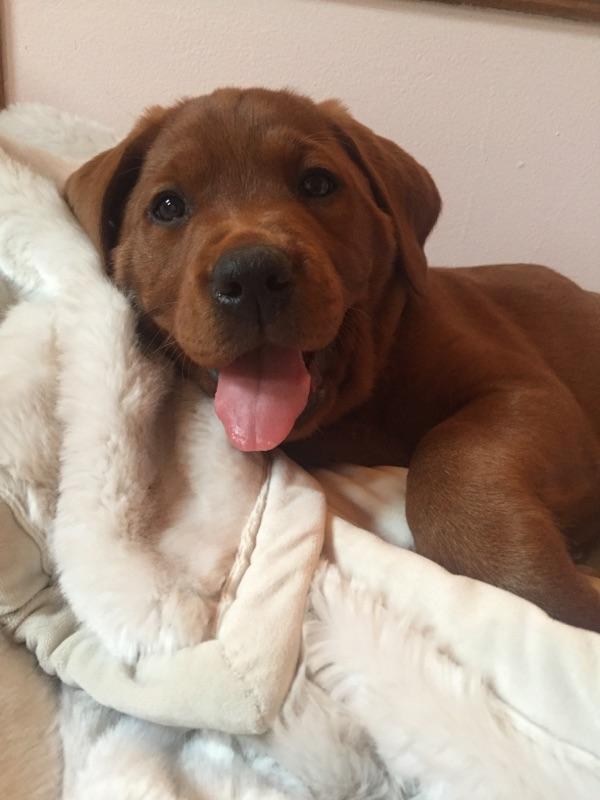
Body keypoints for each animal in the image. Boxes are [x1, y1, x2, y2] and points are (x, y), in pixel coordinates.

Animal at [65, 89, 600, 632]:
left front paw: (545, 591)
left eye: (318, 184)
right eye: (169, 206)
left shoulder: (527, 390)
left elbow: (450, 456)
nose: (251, 275)